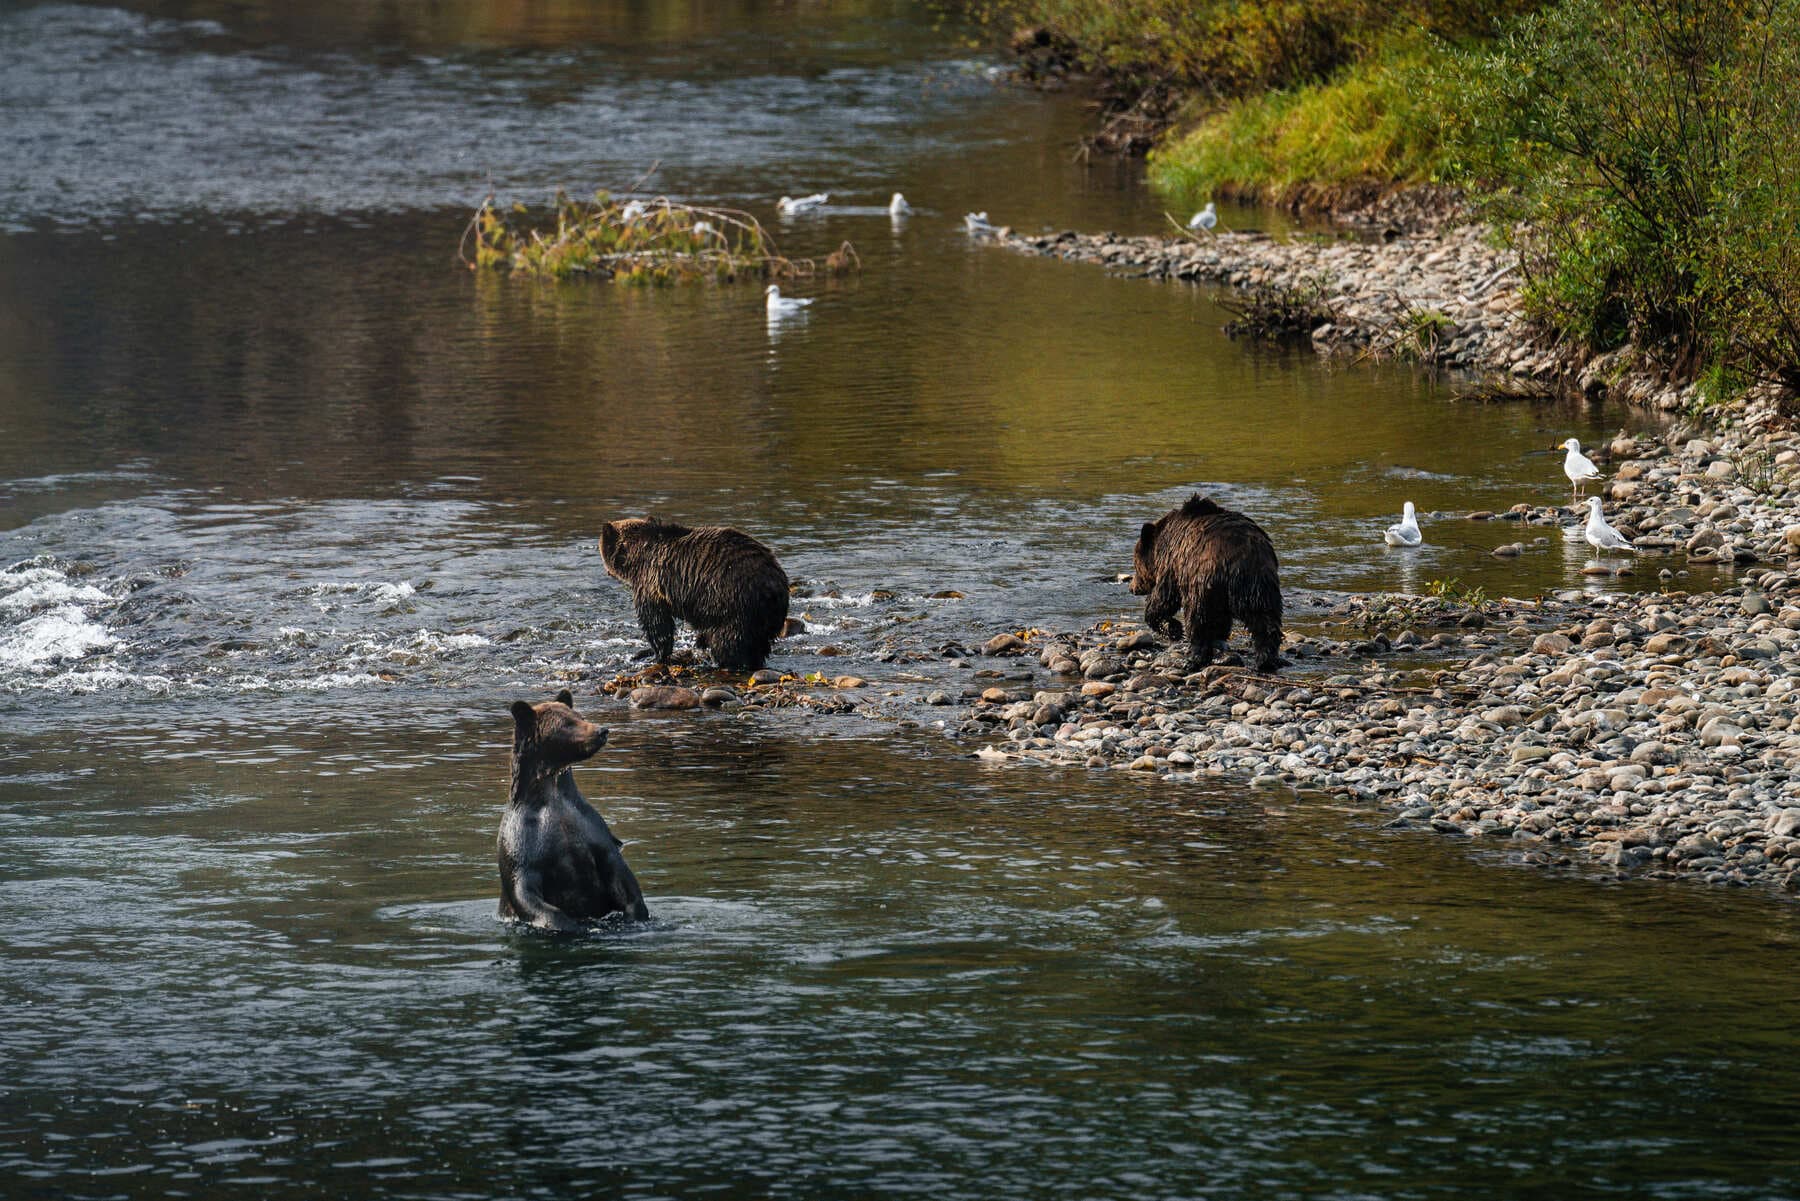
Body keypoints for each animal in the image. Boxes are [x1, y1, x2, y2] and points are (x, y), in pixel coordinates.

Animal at [499, 690, 648, 932]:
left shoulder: (593, 833)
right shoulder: (523, 847)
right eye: (566, 724)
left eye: (580, 716)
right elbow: (526, 895)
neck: (553, 797)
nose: (602, 730)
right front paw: (571, 925)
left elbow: (624, 882)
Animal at [599, 517, 789, 671]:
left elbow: (656, 623)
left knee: (729, 641)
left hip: (735, 604)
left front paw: (656, 655)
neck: (635, 558)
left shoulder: (650, 582)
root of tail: (774, 586)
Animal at [1129, 494, 1284, 673]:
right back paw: (1265, 660)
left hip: (1204, 582)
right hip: (1258, 585)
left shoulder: (1172, 564)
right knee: (1265, 620)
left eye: (1135, 563)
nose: (1132, 588)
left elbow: (1164, 597)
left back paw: (1194, 659)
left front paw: (1173, 629)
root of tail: (1238, 560)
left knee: (1198, 618)